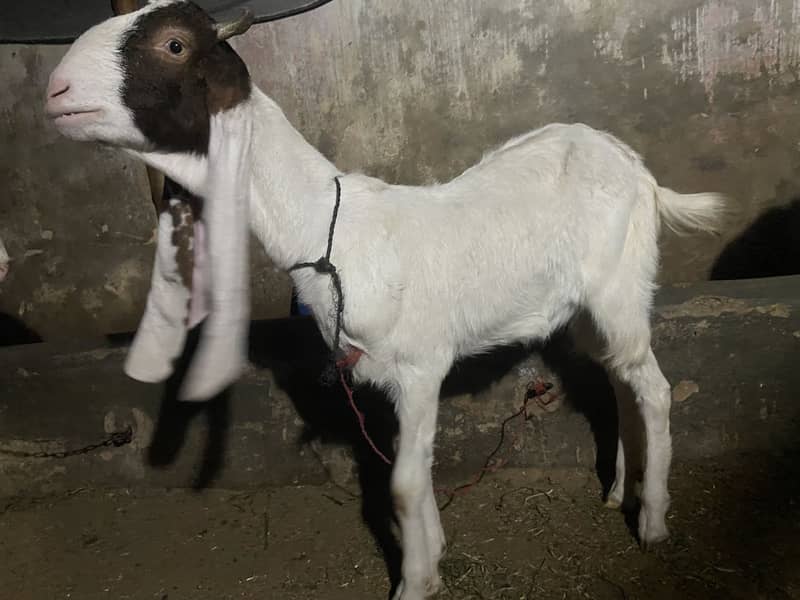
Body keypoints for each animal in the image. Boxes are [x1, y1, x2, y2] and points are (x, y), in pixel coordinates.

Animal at [45, 2, 725, 598]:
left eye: (175, 45)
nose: (55, 90)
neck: (329, 231)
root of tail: (640, 171)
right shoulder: (392, 379)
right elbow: (411, 474)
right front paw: (434, 556)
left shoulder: (422, 367)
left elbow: (400, 485)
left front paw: (416, 581)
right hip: (588, 311)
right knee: (620, 381)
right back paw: (619, 492)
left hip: (621, 287)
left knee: (654, 389)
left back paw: (652, 521)